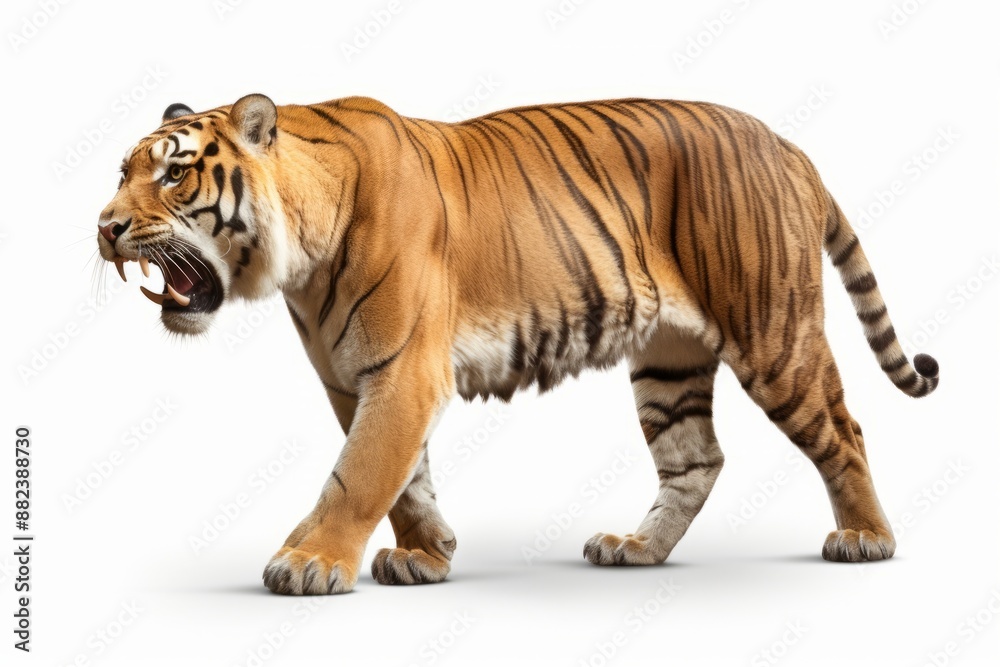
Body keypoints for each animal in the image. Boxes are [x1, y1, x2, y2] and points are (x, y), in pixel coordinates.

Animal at [95, 93, 939, 595]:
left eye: (173, 175)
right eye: (122, 171)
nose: (104, 226)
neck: (301, 251)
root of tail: (785, 143)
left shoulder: (403, 371)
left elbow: (361, 472)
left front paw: (308, 561)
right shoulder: (354, 378)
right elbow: (403, 476)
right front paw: (427, 552)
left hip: (773, 331)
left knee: (843, 430)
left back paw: (866, 537)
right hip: (669, 359)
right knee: (697, 460)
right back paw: (636, 547)